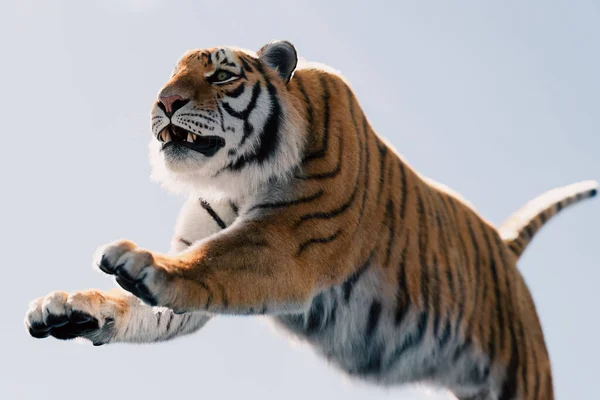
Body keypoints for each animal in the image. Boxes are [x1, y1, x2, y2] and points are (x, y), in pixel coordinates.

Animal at [23, 40, 596, 400]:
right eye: (172, 76)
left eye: (222, 75)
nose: (164, 102)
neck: (234, 177)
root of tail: (503, 246)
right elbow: (142, 305)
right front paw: (70, 308)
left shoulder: (284, 245)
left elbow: (208, 262)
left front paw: (144, 264)